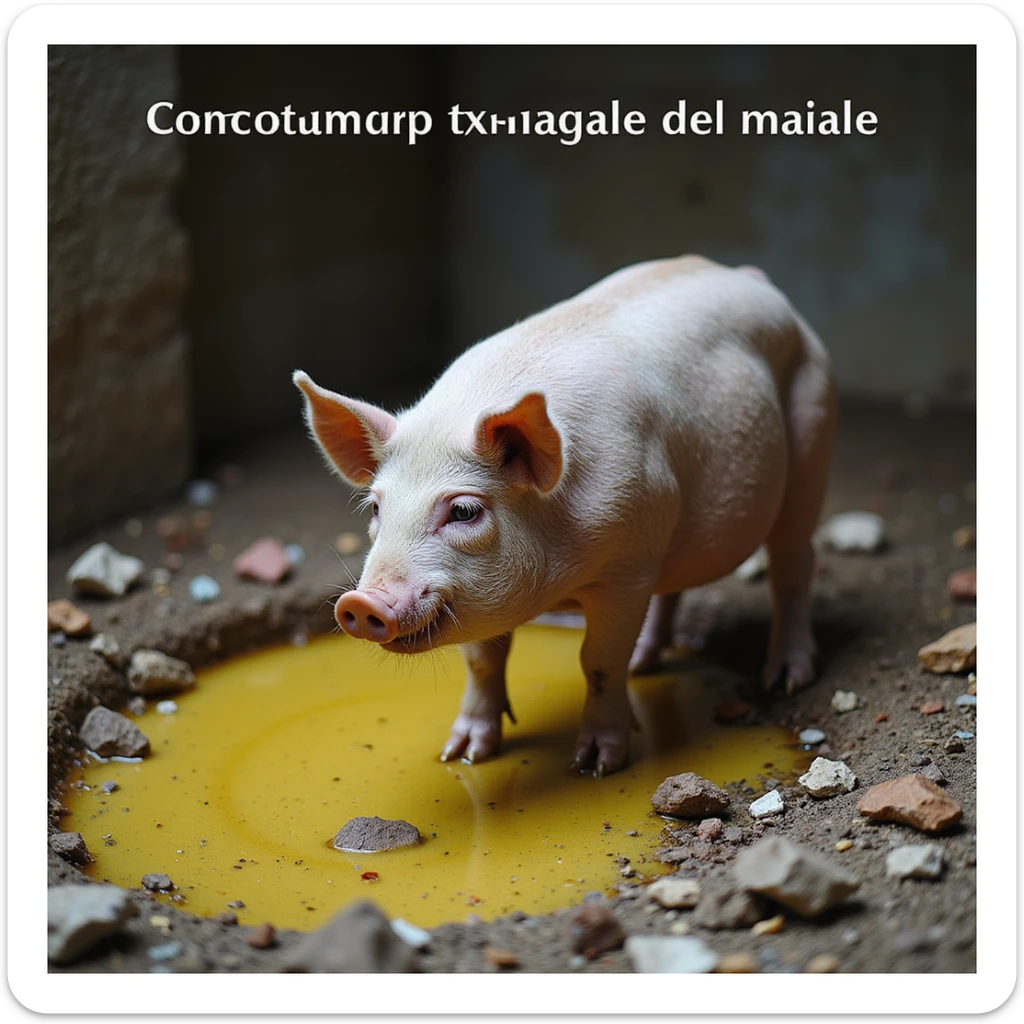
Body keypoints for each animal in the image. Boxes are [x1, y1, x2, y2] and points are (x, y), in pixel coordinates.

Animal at [293, 254, 837, 776]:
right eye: (376, 507)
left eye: (464, 510)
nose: (360, 603)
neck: (560, 576)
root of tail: (749, 277)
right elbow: (483, 662)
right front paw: (462, 755)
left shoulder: (627, 568)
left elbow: (597, 659)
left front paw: (596, 766)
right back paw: (644, 664)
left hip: (812, 433)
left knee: (794, 563)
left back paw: (786, 679)